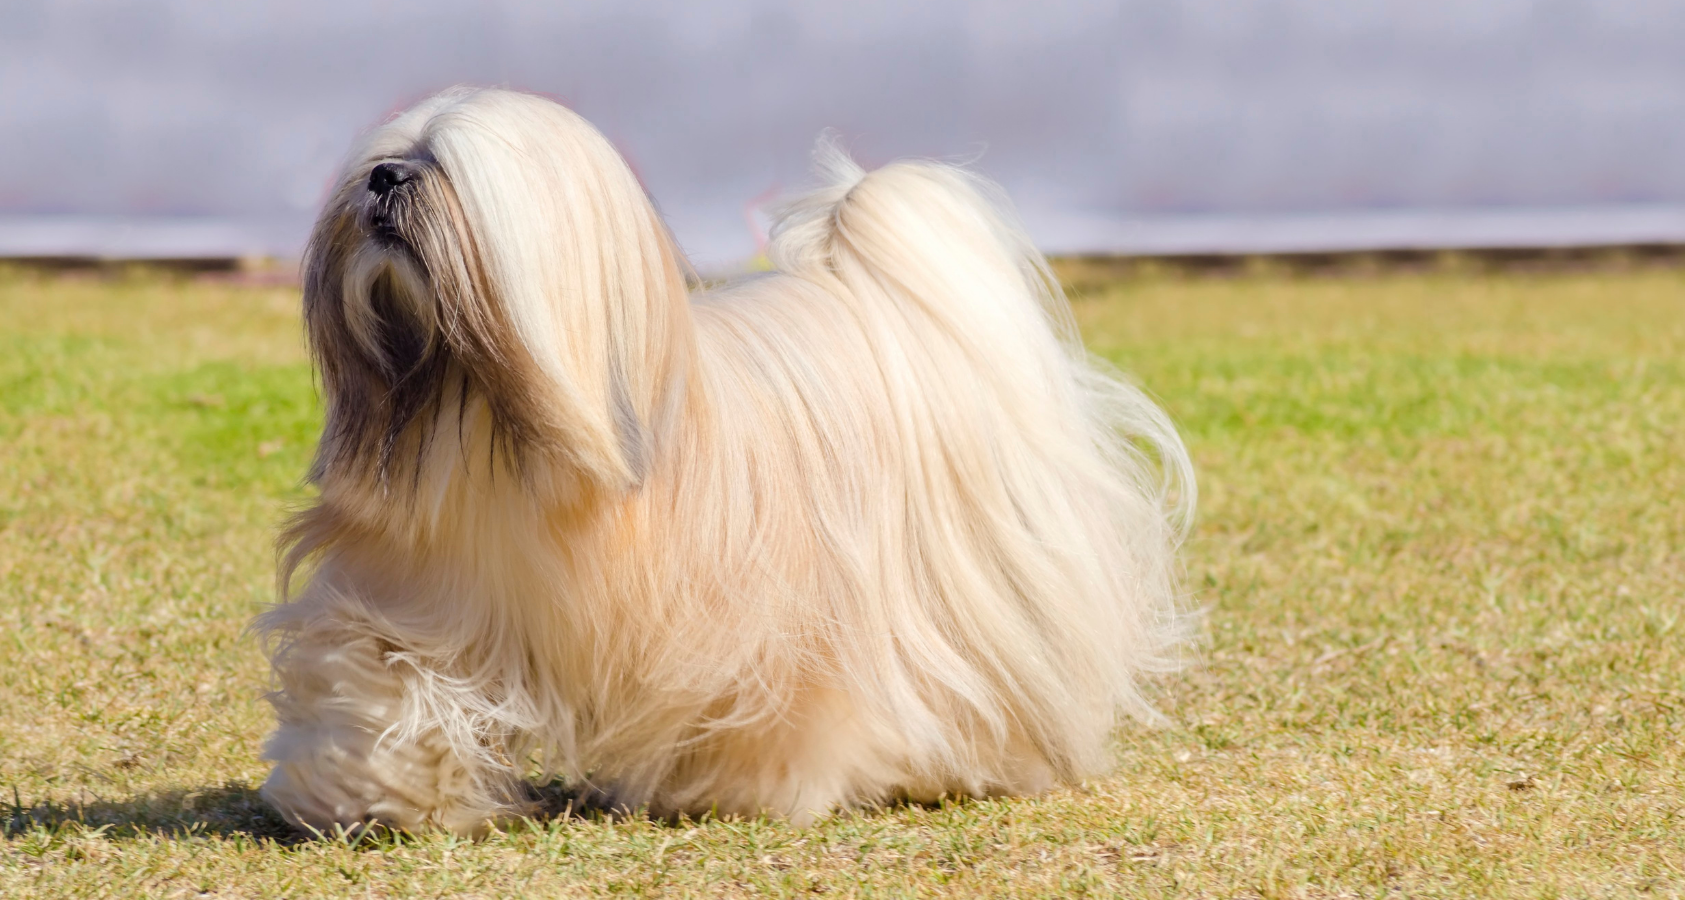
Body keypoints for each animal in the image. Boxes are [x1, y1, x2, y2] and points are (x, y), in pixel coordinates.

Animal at [256, 88, 1192, 835]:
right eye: (383, 160)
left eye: (438, 168)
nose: (383, 179)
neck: (495, 423)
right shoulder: (413, 594)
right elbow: (375, 684)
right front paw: (370, 795)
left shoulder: (762, 628)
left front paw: (746, 789)